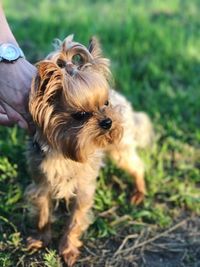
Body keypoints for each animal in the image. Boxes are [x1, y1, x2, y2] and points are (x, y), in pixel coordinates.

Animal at [25, 35, 153, 266]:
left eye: (105, 103)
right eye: (81, 115)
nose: (107, 121)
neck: (65, 154)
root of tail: (121, 98)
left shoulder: (83, 189)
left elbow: (75, 221)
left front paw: (68, 249)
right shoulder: (41, 184)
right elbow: (43, 214)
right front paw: (41, 239)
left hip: (120, 149)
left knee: (136, 167)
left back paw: (139, 192)